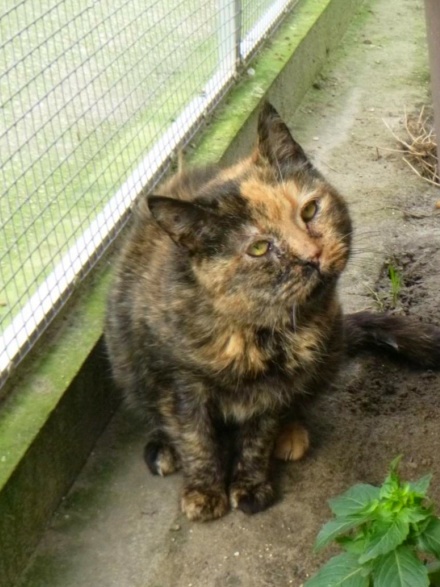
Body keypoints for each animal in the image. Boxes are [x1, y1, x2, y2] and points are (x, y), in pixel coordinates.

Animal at [105, 102, 440, 521]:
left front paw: (250, 485)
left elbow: (258, 436)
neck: (262, 331)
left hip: (328, 346)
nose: (312, 257)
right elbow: (196, 438)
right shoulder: (179, 382)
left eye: (310, 210)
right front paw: (204, 491)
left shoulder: (276, 388)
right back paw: (164, 450)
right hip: (126, 361)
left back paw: (290, 434)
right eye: (259, 248)